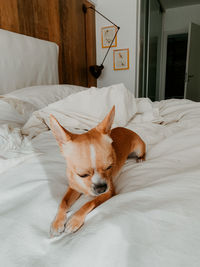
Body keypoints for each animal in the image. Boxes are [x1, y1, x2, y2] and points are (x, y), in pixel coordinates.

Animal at [48, 105, 145, 237]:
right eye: (82, 175)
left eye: (109, 167)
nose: (101, 188)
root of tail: (126, 128)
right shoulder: (74, 187)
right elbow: (64, 202)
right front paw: (57, 222)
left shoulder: (108, 192)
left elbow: (89, 203)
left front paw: (74, 220)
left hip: (139, 147)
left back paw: (141, 159)